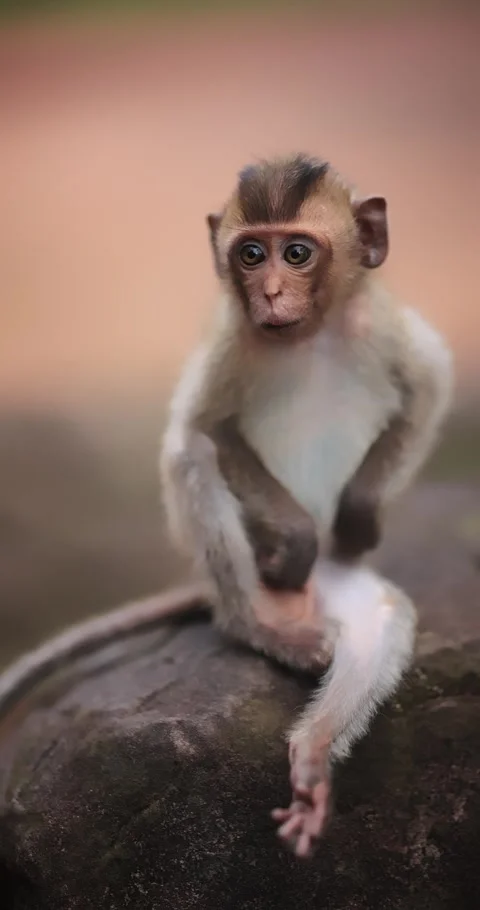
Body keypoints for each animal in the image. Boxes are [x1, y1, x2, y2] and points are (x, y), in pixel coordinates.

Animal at [159, 153, 454, 857]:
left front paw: (358, 520)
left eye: (296, 252)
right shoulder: (232, 343)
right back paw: (265, 626)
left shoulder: (383, 327)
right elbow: (202, 431)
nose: (268, 292)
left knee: (376, 622)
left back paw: (315, 757)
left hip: (344, 587)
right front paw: (291, 541)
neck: (309, 336)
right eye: (250, 254)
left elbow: (429, 386)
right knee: (194, 456)